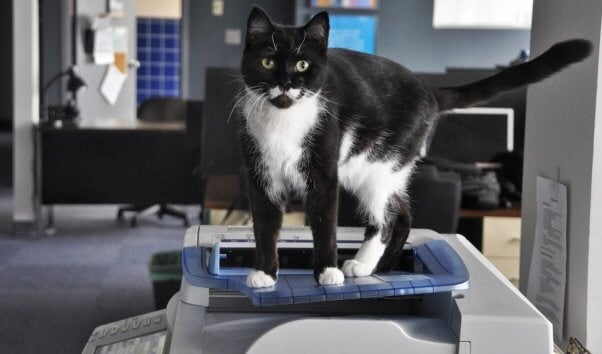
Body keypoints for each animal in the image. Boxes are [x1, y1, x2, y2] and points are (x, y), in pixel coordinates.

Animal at [237, 6, 588, 288]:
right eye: (267, 61)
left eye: (302, 66)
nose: (285, 84)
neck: (284, 121)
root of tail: (430, 90)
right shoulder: (260, 176)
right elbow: (265, 224)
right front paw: (265, 274)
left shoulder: (324, 173)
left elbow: (325, 222)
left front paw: (326, 272)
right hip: (372, 168)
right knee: (403, 212)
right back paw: (385, 267)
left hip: (380, 162)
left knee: (388, 218)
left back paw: (362, 264)